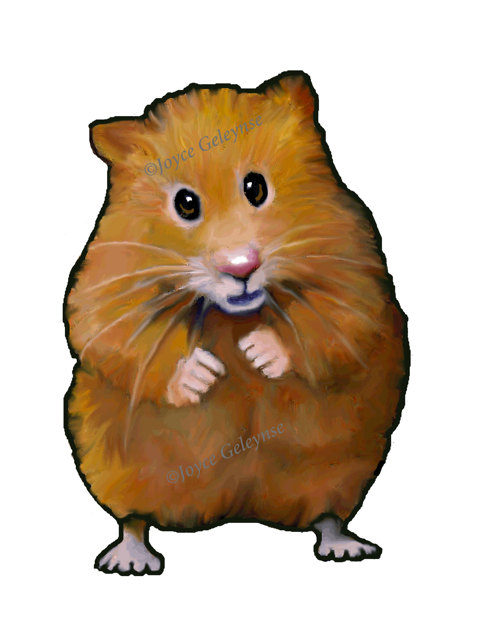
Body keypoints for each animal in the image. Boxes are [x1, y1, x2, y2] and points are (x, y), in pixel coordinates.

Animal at [64, 71, 409, 574]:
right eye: (186, 204)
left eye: (257, 187)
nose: (241, 267)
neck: (231, 314)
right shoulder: (105, 282)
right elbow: (111, 334)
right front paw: (206, 373)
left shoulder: (356, 266)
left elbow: (335, 321)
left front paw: (255, 353)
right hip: (113, 468)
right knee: (132, 519)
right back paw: (130, 560)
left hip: (344, 469)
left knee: (328, 514)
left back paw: (346, 548)